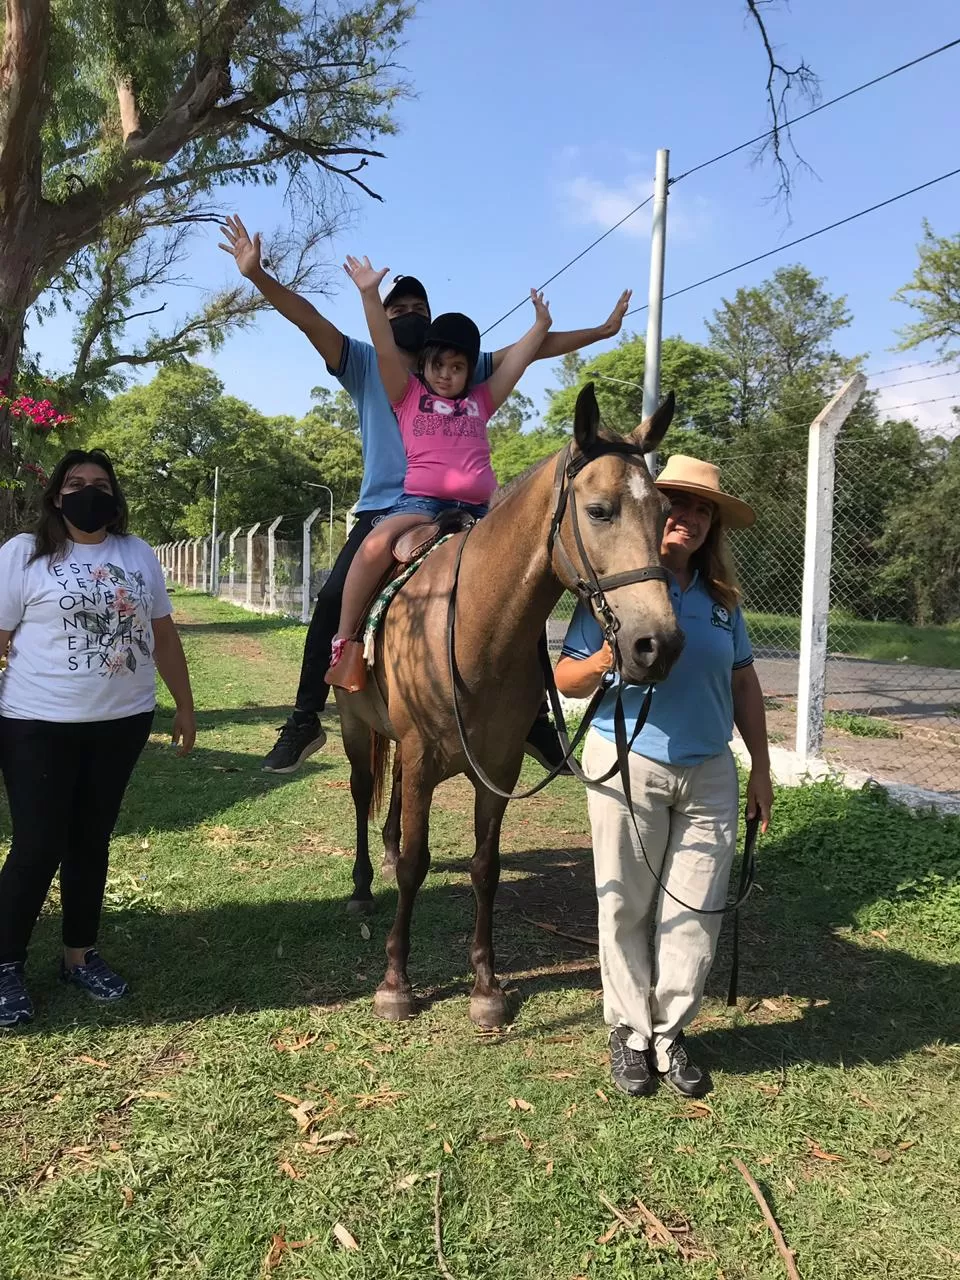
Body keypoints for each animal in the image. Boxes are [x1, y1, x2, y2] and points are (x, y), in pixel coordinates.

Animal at [335, 384, 686, 1024]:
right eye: (599, 510)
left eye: (664, 514)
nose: (658, 645)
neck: (474, 625)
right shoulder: (423, 756)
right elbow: (418, 865)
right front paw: (396, 982)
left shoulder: (497, 767)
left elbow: (485, 868)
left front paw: (486, 987)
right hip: (354, 728)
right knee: (362, 792)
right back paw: (363, 885)